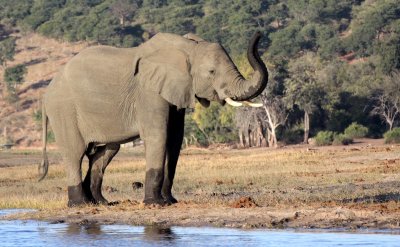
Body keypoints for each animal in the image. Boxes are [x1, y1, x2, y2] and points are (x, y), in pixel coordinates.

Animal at [39, 32, 268, 206]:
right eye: (211, 72)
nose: (259, 34)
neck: (187, 48)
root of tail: (47, 91)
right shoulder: (149, 93)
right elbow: (159, 136)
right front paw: (155, 204)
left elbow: (175, 139)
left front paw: (170, 202)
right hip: (64, 109)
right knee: (75, 153)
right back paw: (80, 204)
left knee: (106, 151)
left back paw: (100, 203)